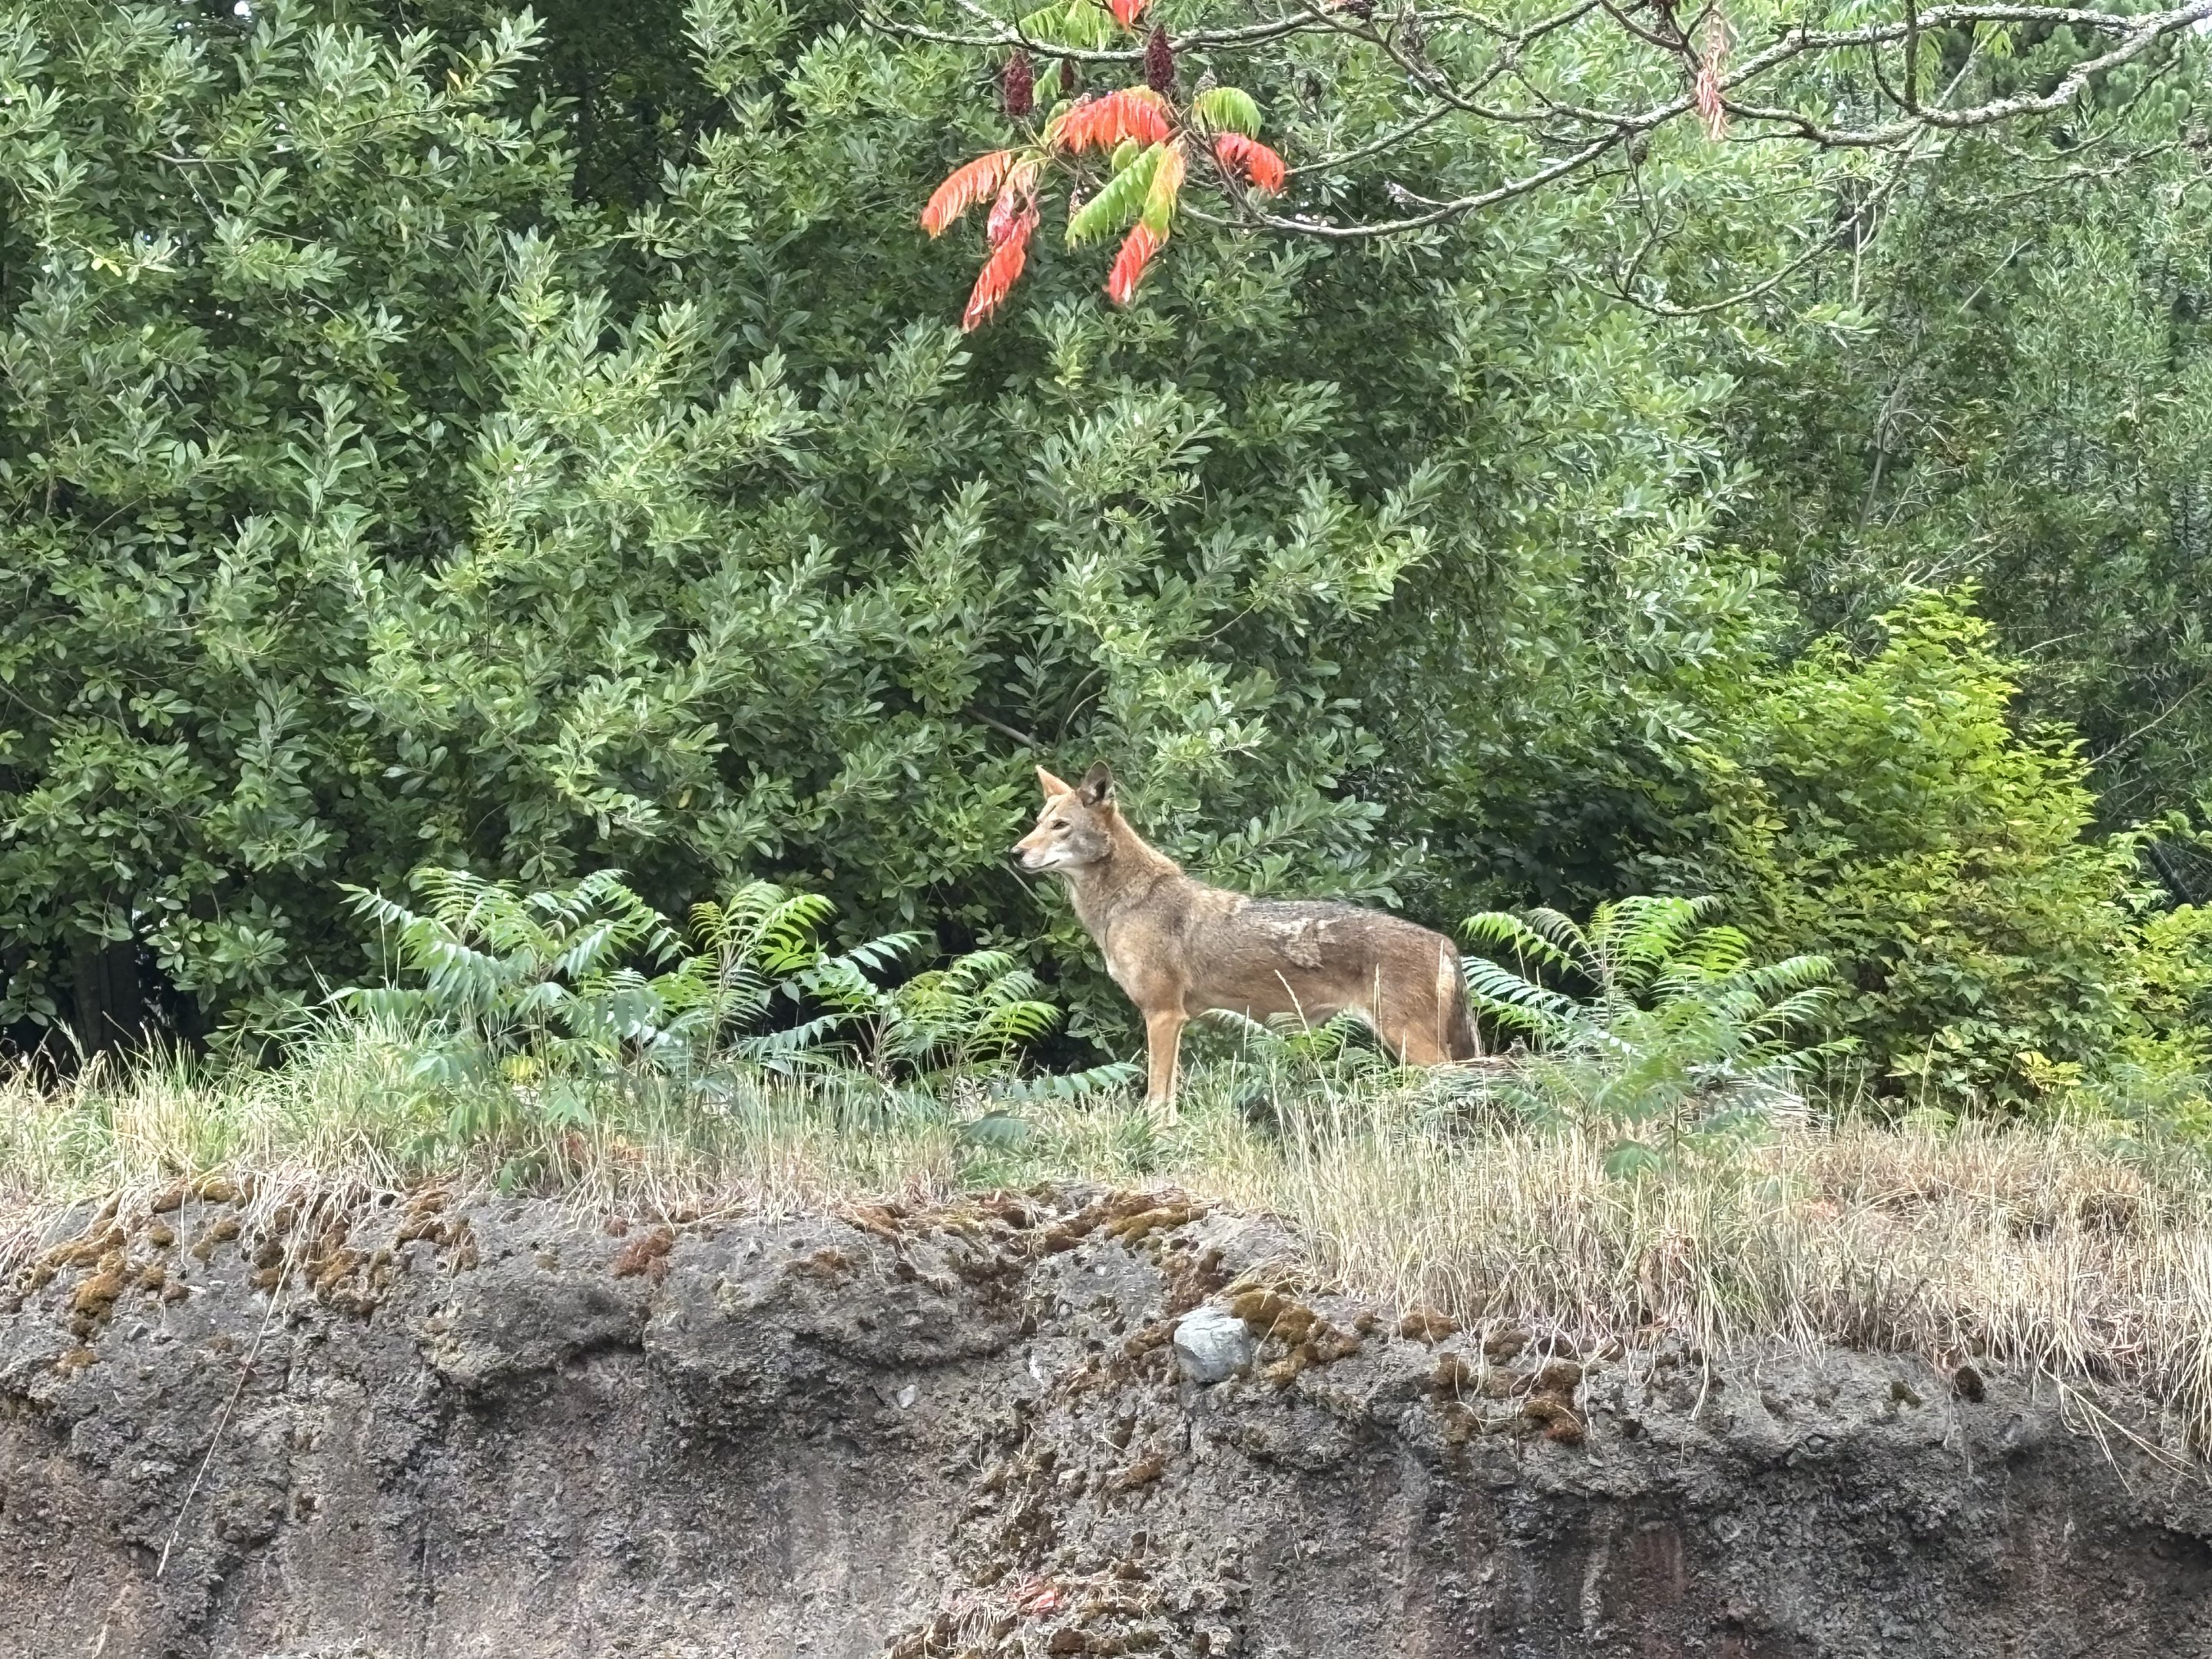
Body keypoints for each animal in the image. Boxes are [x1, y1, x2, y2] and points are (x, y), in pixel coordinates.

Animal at [1013, 763, 1481, 1110]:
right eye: (1037, 824)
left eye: (1060, 826)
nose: (1015, 853)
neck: (1126, 904)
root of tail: (1446, 943)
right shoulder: (1173, 1019)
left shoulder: (1164, 1015)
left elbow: (1158, 1097)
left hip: (1413, 1044)